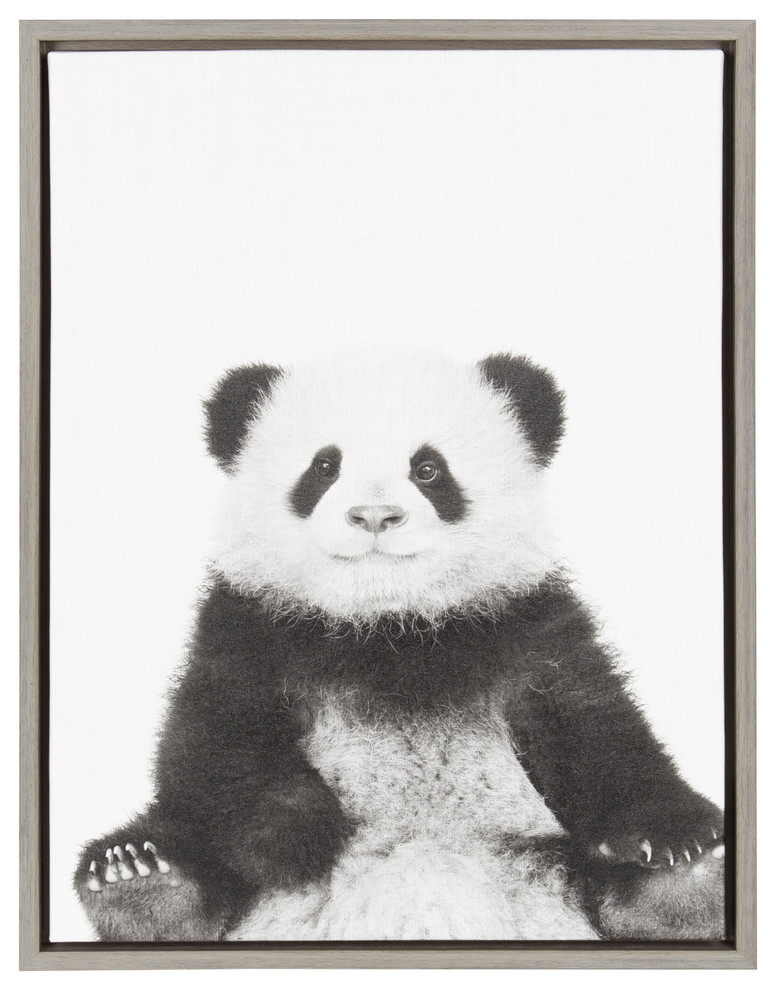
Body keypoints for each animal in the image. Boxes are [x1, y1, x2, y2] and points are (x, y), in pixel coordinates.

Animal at [75, 352, 725, 942]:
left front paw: (676, 837)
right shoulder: (250, 627)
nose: (374, 516)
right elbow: (213, 740)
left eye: (428, 470)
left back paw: (683, 884)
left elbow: (595, 726)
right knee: (178, 842)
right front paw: (292, 837)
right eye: (325, 466)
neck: (390, 628)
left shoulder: (527, 628)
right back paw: (141, 879)